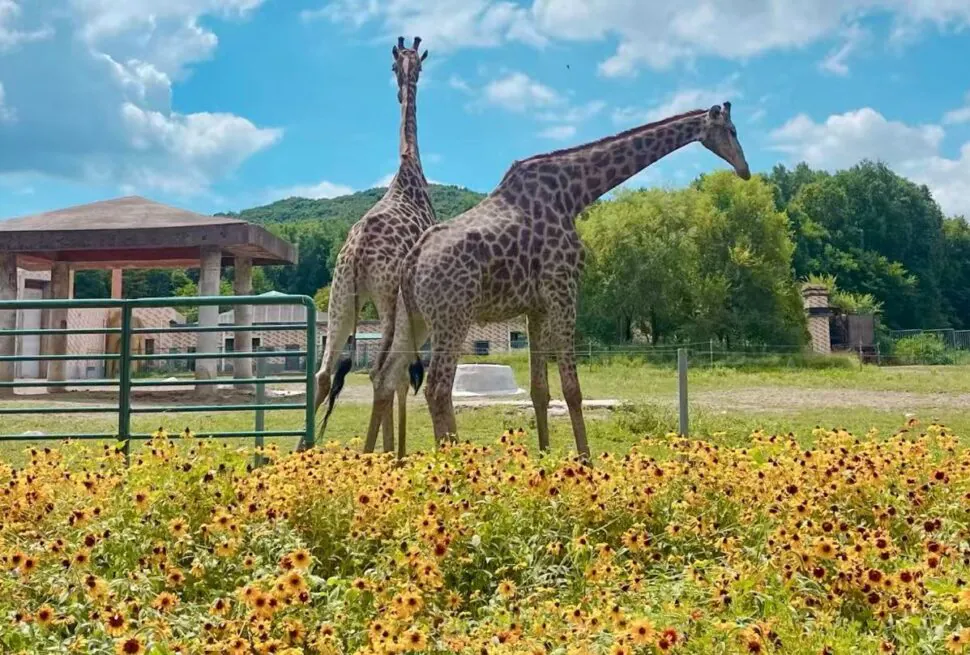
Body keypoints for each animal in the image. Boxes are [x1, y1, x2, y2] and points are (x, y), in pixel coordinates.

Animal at [307, 36, 436, 456]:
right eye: (395, 66)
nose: (401, 82)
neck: (409, 168)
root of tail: (359, 252)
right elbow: (403, 378)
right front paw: (396, 452)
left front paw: (392, 450)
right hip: (388, 300)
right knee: (383, 374)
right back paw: (367, 457)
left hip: (341, 297)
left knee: (324, 373)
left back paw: (303, 453)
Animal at [363, 102, 750, 461]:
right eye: (731, 130)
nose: (745, 170)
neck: (574, 194)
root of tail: (412, 260)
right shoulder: (564, 289)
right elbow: (572, 388)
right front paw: (585, 462)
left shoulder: (534, 307)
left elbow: (540, 389)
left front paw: (545, 458)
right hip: (452, 317)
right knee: (437, 389)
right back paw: (454, 467)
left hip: (414, 318)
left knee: (385, 378)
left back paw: (373, 462)